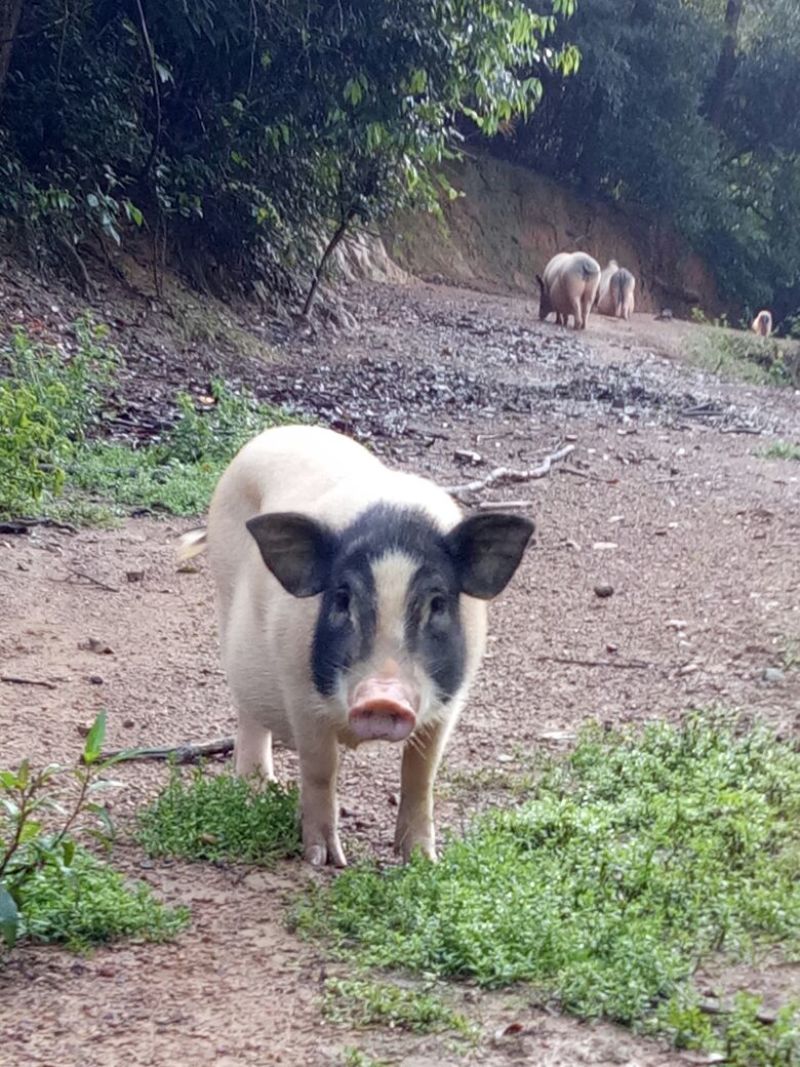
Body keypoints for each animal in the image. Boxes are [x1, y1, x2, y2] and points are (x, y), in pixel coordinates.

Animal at [178, 424, 535, 866]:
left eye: (437, 603)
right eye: (342, 598)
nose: (383, 697)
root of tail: (276, 432)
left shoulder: (450, 702)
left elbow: (421, 774)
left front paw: (423, 860)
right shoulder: (298, 689)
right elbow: (321, 768)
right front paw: (324, 859)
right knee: (249, 712)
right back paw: (255, 792)